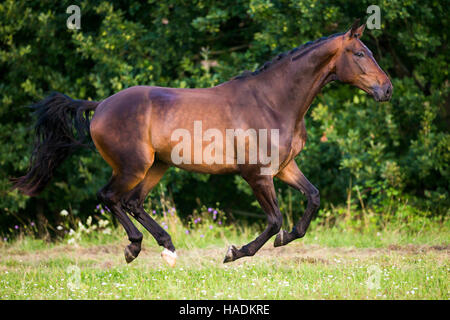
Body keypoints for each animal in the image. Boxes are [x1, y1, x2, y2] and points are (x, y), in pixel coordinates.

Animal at [14, 21, 390, 266]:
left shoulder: (284, 167)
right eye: (359, 53)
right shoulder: (256, 174)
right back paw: (134, 248)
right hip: (133, 166)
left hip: (157, 165)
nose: (387, 90)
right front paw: (234, 253)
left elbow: (312, 198)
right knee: (110, 197)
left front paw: (286, 238)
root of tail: (101, 105)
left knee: (133, 202)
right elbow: (274, 220)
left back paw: (167, 247)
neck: (273, 101)